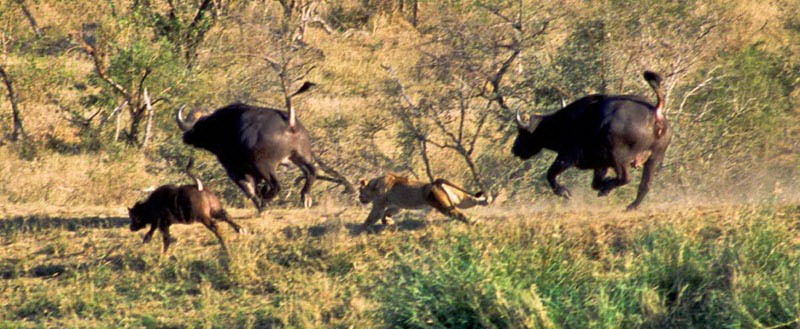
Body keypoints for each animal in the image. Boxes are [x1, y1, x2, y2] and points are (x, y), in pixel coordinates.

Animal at [177, 80, 318, 211]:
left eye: (197, 126)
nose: (185, 137)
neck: (219, 124)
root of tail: (290, 124)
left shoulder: (234, 169)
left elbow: (248, 188)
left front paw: (260, 204)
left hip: (264, 166)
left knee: (276, 185)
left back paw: (265, 202)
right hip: (301, 156)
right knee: (311, 172)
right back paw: (305, 197)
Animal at [360, 174, 490, 228]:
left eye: (360, 192)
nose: (360, 199)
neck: (374, 184)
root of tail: (435, 183)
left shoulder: (379, 204)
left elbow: (373, 216)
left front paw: (364, 226)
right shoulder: (396, 205)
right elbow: (388, 212)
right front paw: (388, 221)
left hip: (443, 205)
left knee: (460, 215)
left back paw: (475, 222)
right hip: (458, 199)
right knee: (472, 200)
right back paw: (487, 200)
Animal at [512, 70, 668, 209]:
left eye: (522, 132)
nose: (515, 149)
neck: (563, 123)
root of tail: (655, 111)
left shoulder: (567, 156)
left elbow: (550, 174)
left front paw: (564, 192)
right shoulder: (601, 165)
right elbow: (595, 183)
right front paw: (604, 186)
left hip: (618, 157)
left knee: (625, 178)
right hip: (654, 158)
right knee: (645, 185)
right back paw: (631, 205)